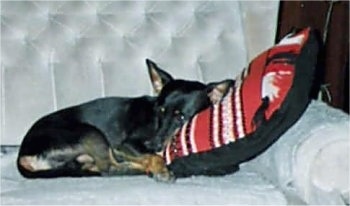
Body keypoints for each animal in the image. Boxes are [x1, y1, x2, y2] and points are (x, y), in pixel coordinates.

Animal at [16, 59, 231, 182]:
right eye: (160, 111)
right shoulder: (126, 144)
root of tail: (22, 155)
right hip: (90, 132)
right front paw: (160, 168)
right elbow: (155, 156)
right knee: (109, 168)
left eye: (181, 117)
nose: (152, 144)